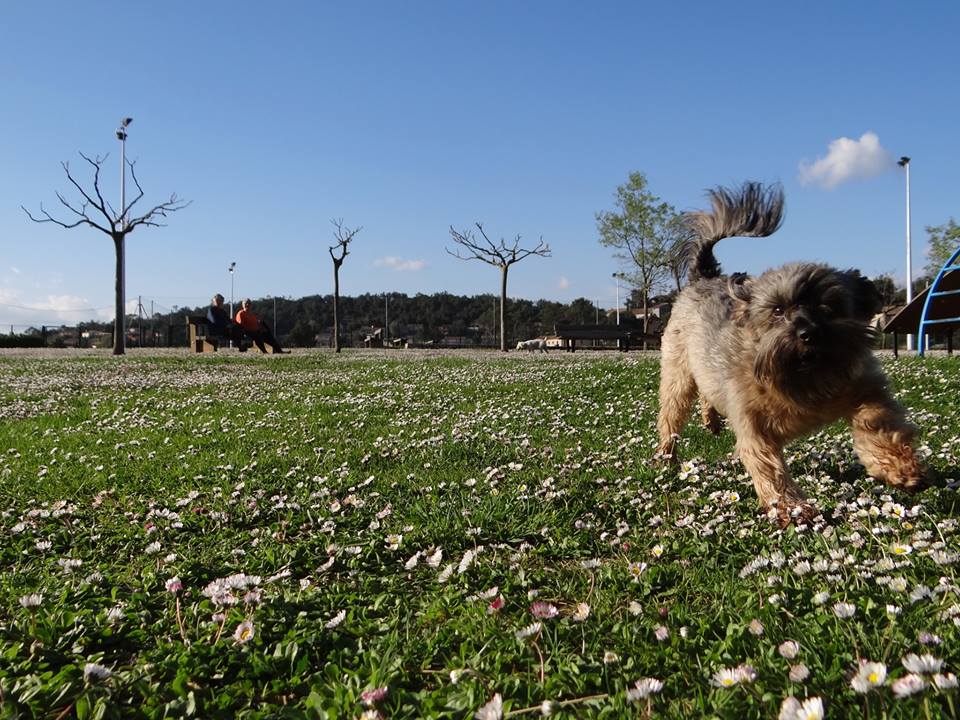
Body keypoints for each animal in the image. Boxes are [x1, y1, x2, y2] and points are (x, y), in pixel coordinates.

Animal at [656, 181, 928, 524]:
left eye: (828, 306)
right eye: (777, 310)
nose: (808, 333)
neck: (803, 379)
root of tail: (704, 276)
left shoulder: (864, 386)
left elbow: (878, 423)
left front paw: (901, 468)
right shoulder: (751, 421)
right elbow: (767, 463)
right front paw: (789, 507)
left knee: (706, 393)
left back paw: (711, 419)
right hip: (678, 375)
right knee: (671, 417)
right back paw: (667, 456)